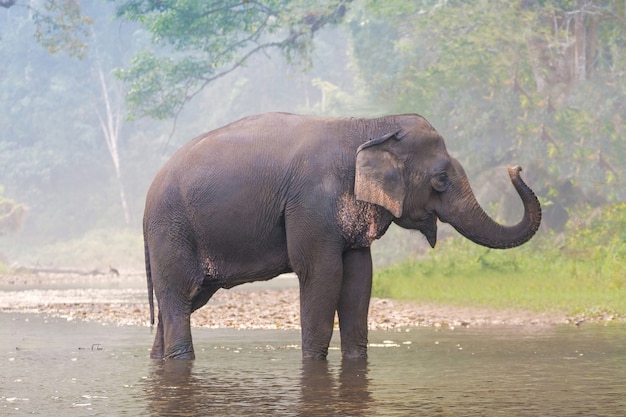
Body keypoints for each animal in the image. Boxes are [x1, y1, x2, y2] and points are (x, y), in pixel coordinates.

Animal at [140, 112, 536, 360]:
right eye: (440, 179)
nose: (515, 167)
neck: (370, 125)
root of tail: (147, 197)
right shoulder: (312, 203)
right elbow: (322, 275)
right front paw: (314, 363)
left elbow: (360, 280)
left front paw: (356, 360)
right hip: (172, 229)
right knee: (179, 295)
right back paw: (180, 359)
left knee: (187, 301)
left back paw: (159, 358)